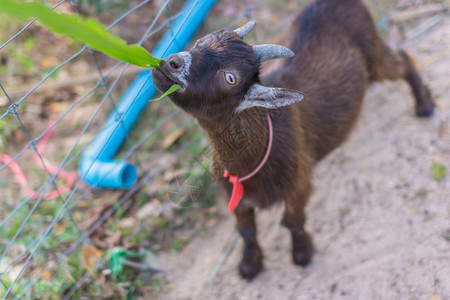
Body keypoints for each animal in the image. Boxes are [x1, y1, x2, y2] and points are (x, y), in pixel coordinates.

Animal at [153, 0, 434, 280]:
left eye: (230, 77)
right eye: (201, 41)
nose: (173, 62)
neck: (250, 163)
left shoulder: (299, 183)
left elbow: (292, 222)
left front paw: (302, 253)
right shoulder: (235, 196)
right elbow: (246, 232)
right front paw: (250, 265)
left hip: (373, 57)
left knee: (402, 60)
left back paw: (424, 104)